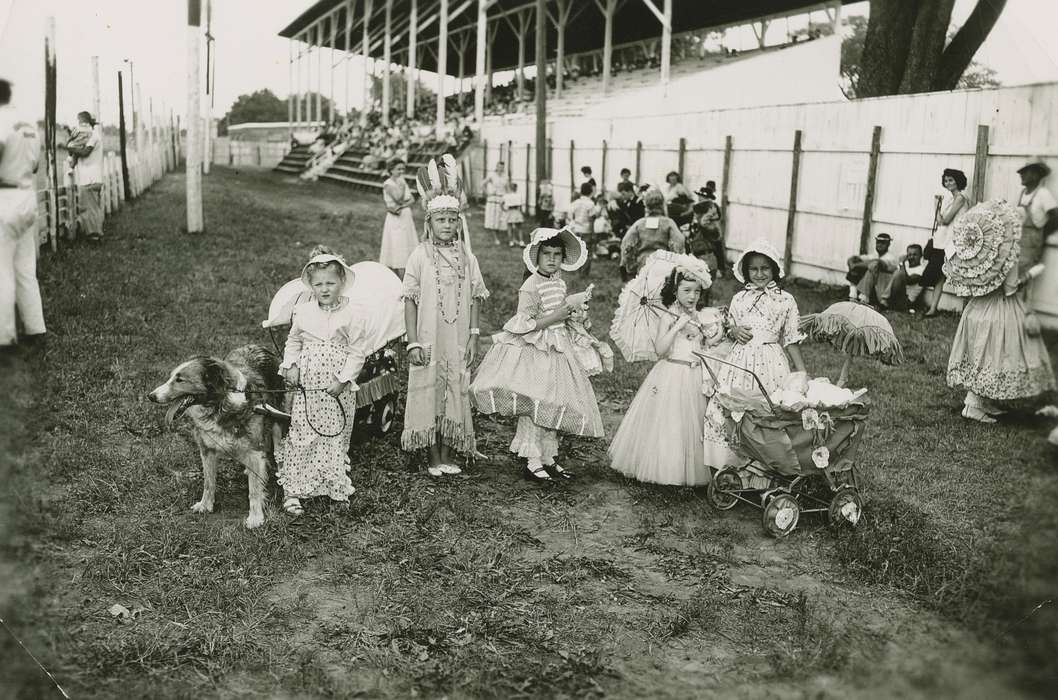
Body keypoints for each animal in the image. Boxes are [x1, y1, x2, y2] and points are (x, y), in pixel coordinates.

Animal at [147, 342, 285, 528]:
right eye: (171, 378)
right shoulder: (206, 450)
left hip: (278, 422)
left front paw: (256, 517)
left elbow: (254, 491)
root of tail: (257, 346)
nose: (151, 396)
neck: (220, 405)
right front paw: (205, 505)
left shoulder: (255, 450)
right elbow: (208, 482)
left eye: (180, 380)